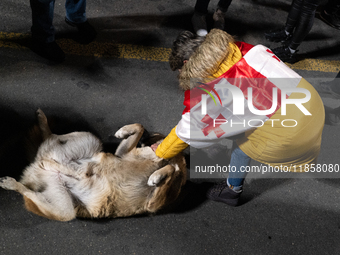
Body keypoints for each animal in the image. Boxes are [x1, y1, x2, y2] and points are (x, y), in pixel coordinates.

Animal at [0, 109, 186, 221]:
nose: (148, 137)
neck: (162, 158)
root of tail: (37, 165)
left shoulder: (152, 204)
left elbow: (172, 169)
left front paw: (157, 175)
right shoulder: (122, 154)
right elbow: (139, 126)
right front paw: (124, 131)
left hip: (65, 210)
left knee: (29, 189)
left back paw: (12, 183)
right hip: (88, 139)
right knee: (51, 136)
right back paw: (42, 122)